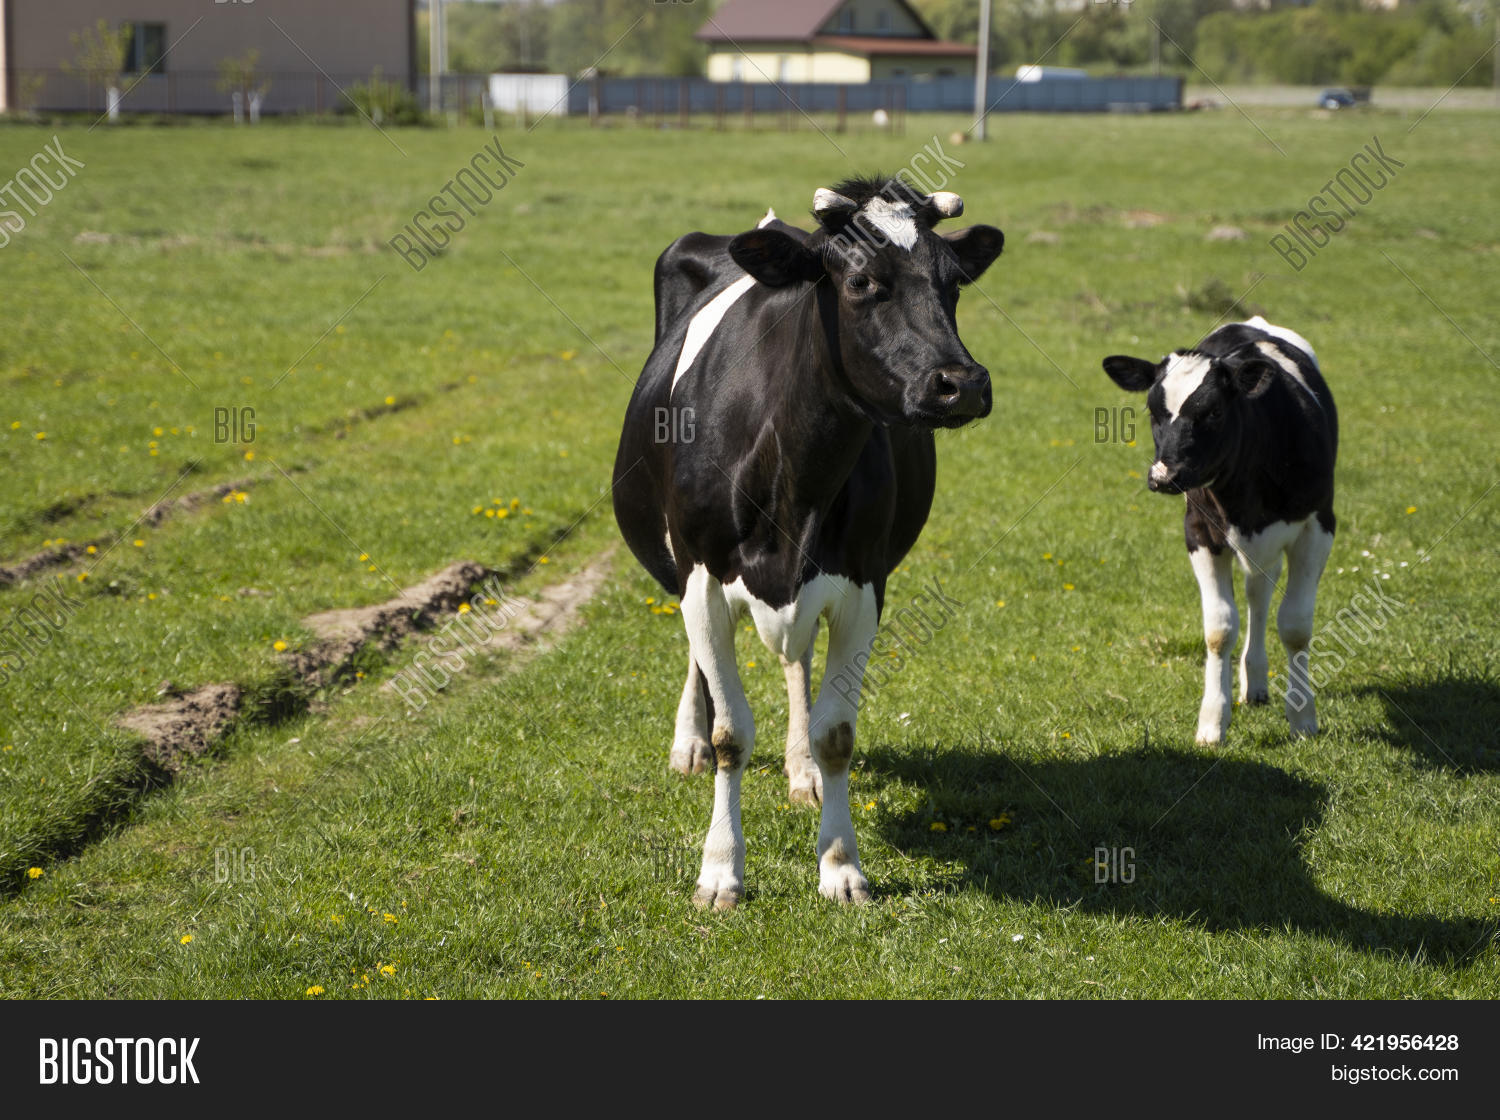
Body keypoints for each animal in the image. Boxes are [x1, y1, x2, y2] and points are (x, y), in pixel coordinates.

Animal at [613, 177, 1005, 908]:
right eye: (860, 282)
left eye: (954, 284)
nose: (962, 383)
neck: (794, 468)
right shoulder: (702, 577)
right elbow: (731, 731)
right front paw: (720, 869)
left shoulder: (864, 585)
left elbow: (836, 733)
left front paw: (840, 865)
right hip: (680, 566)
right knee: (701, 662)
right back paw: (688, 744)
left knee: (797, 662)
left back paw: (800, 772)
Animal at [1102, 316, 1337, 745]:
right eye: (1152, 410)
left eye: (1212, 411)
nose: (1163, 476)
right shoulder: (1199, 532)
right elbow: (1219, 629)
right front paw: (1212, 722)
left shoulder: (1319, 527)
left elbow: (1295, 626)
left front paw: (1303, 718)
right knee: (1257, 594)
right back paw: (1253, 682)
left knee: (1261, 596)